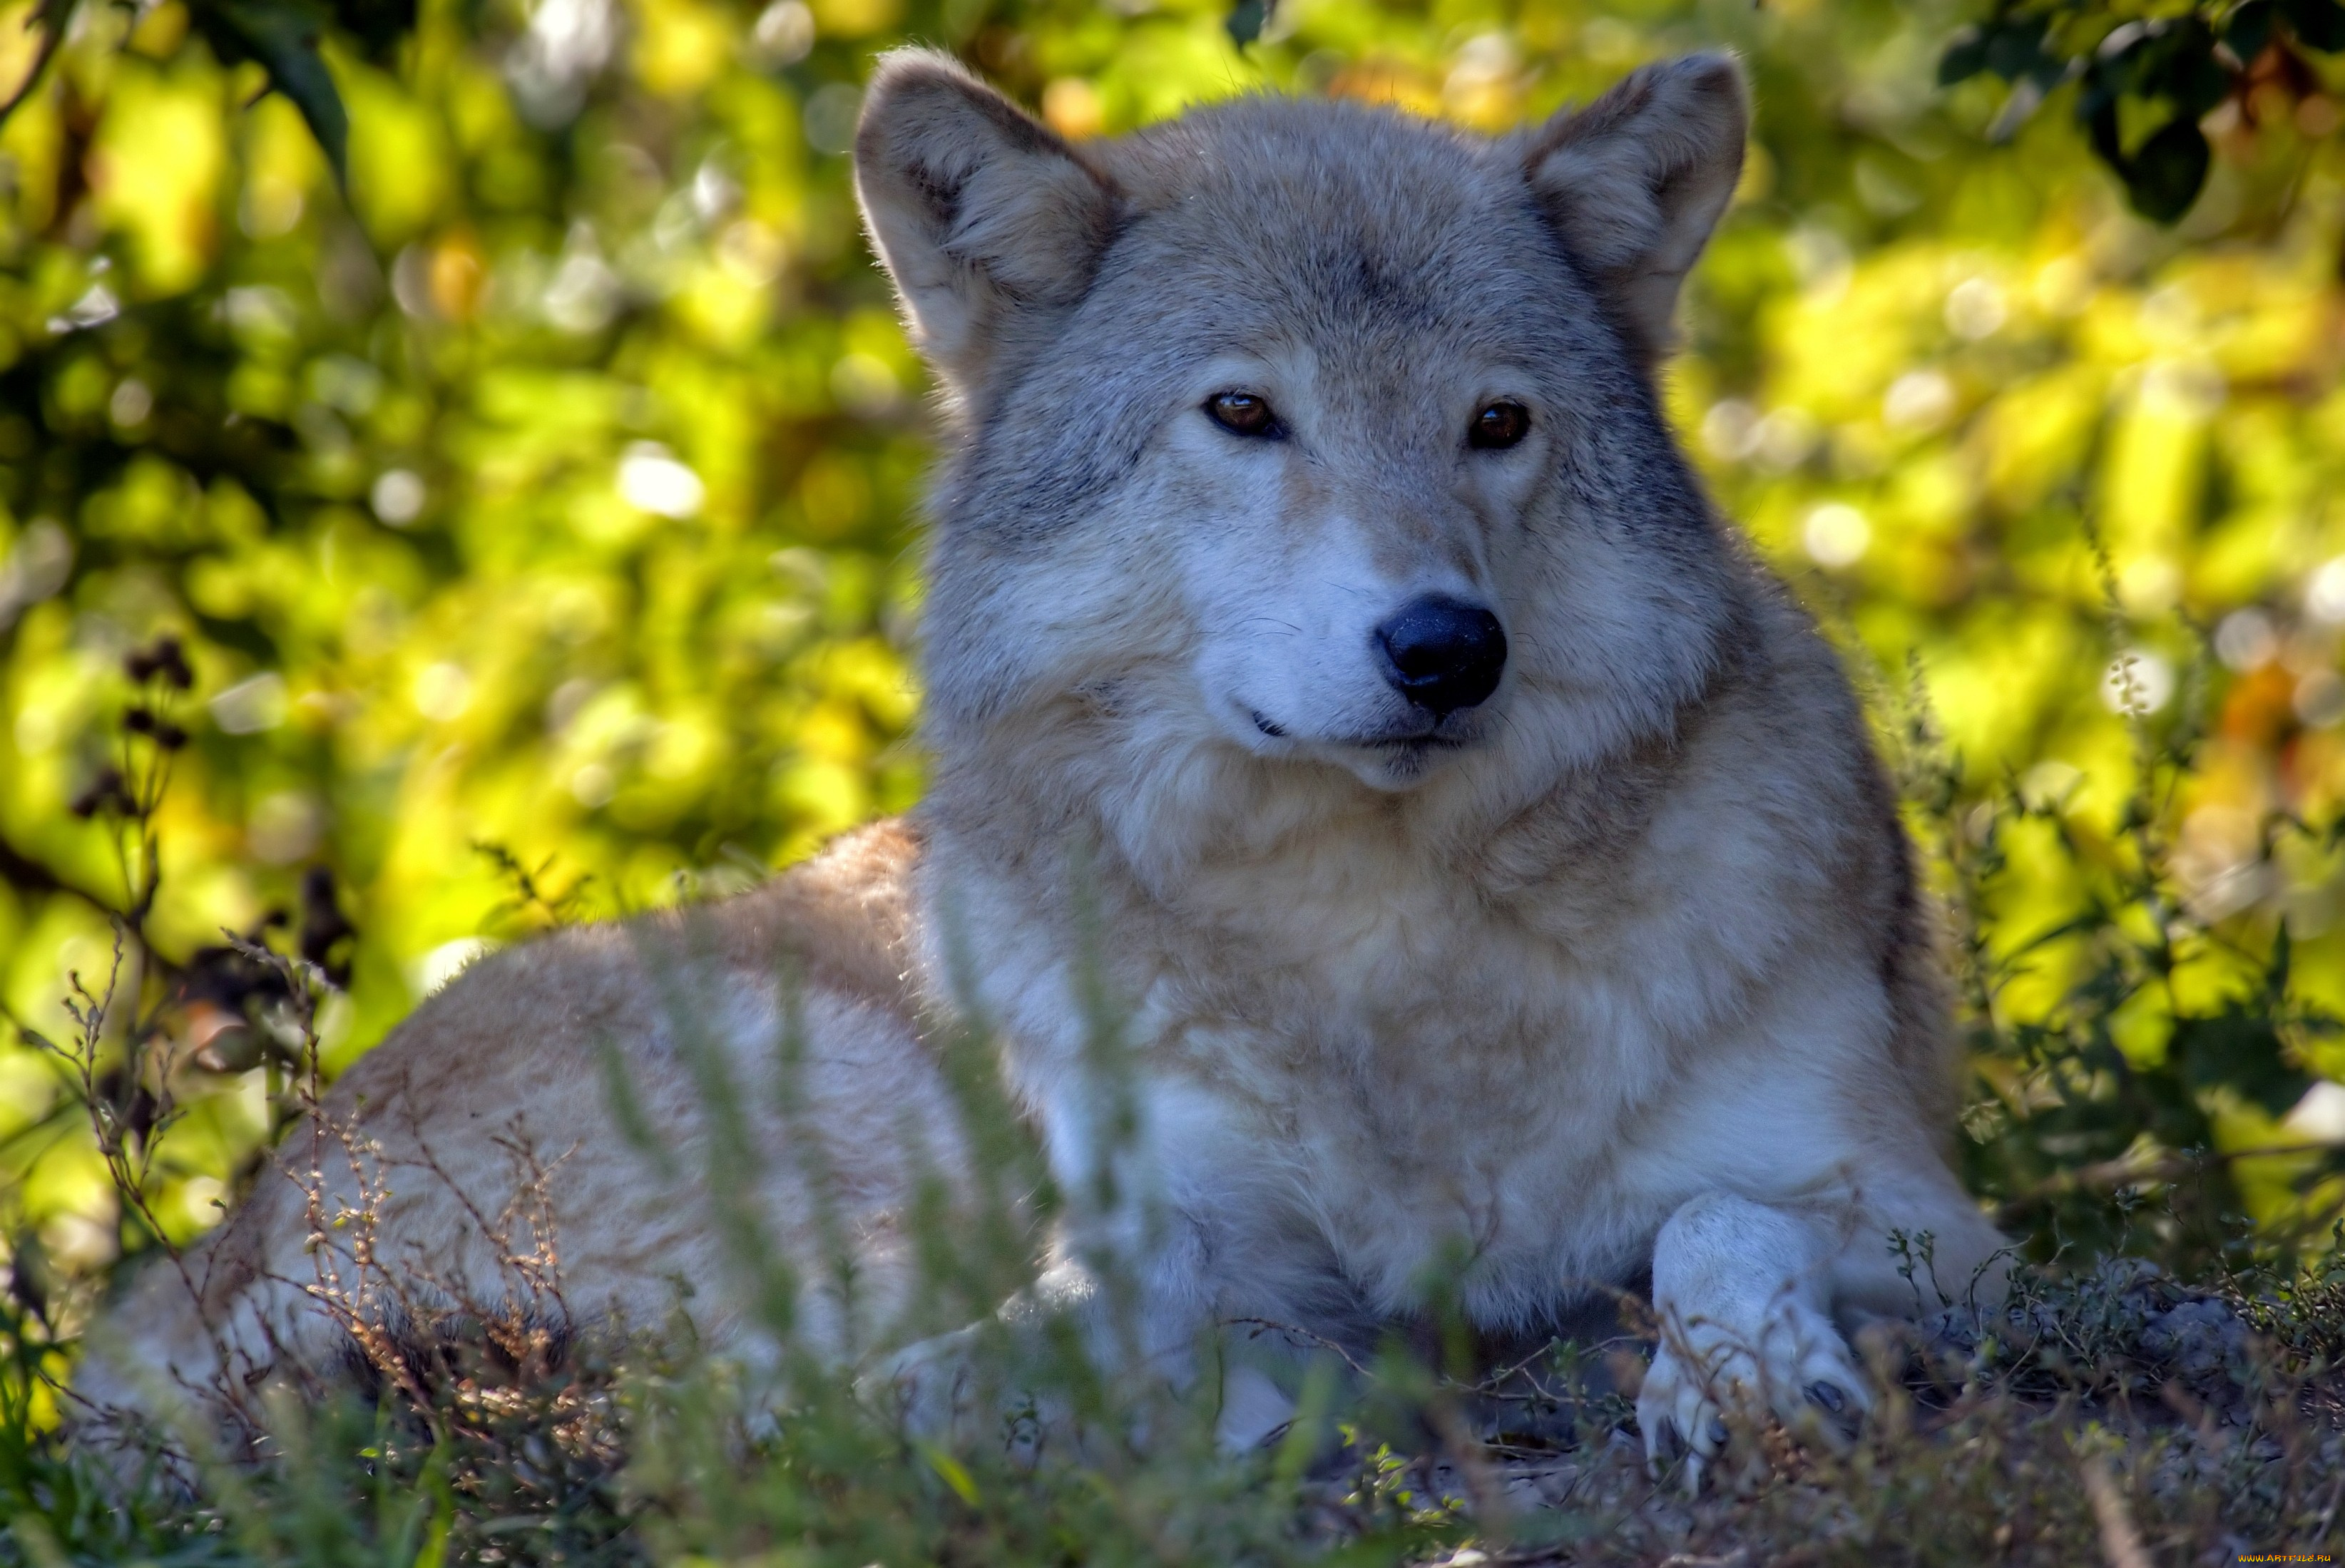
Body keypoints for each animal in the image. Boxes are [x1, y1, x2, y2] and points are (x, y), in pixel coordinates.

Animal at [82, 42, 2007, 1472]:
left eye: (1497, 424)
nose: (1447, 649)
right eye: (1243, 414)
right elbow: (1019, 1345)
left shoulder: (1922, 1213)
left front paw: (1745, 1375)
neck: (1383, 954)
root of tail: (193, 1271)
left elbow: (1712, 1222)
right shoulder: (1169, 1236)